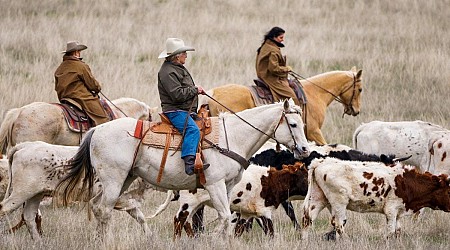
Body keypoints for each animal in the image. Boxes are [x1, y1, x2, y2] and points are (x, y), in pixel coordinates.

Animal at [0, 141, 151, 240]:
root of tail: (26, 145)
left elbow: (141, 218)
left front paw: (150, 237)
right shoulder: (120, 199)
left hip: (36, 194)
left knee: (29, 216)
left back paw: (38, 241)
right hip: (21, 192)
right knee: (4, 208)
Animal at [54, 100, 312, 238]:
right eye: (292, 124)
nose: (304, 149)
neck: (233, 136)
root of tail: (96, 130)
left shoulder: (228, 187)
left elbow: (228, 219)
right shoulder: (214, 184)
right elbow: (225, 216)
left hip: (123, 179)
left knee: (98, 207)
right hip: (113, 180)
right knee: (105, 210)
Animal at [300, 158, 450, 240]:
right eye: (448, 190)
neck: (407, 182)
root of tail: (320, 161)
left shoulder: (399, 211)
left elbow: (398, 230)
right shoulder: (391, 209)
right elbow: (390, 231)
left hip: (318, 199)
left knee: (308, 220)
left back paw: (305, 242)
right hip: (339, 202)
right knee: (338, 224)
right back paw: (346, 241)